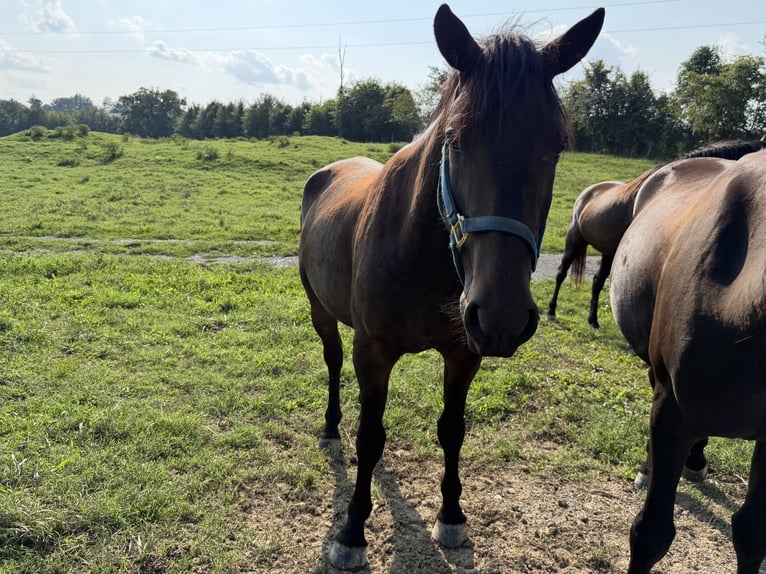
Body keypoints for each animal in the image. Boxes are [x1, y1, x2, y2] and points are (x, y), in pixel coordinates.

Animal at [298, 4, 604, 570]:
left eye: (555, 146)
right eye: (456, 139)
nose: (503, 316)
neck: (422, 255)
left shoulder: (464, 353)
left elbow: (451, 430)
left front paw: (452, 516)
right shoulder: (373, 351)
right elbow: (370, 436)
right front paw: (352, 531)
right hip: (321, 311)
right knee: (332, 362)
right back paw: (331, 427)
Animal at [546, 137, 766, 329]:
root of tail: (589, 192)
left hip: (608, 253)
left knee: (597, 282)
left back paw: (593, 320)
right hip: (574, 241)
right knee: (561, 274)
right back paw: (551, 312)